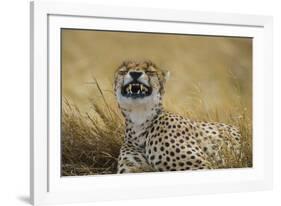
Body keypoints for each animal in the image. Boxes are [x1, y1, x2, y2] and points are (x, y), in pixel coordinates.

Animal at [112, 60, 240, 173]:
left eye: (150, 71)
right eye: (123, 71)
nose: (135, 73)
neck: (139, 121)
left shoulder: (201, 165)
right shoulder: (132, 170)